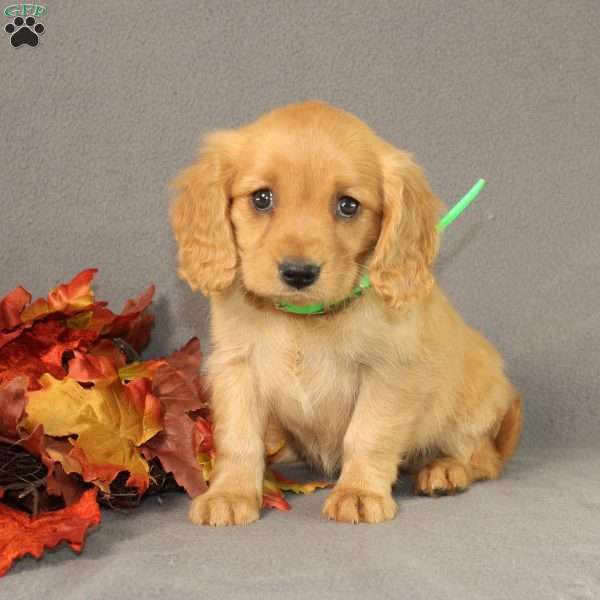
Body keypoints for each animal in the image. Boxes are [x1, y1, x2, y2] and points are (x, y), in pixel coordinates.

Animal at [169, 102, 520, 524]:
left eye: (348, 205)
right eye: (261, 198)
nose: (298, 273)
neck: (303, 321)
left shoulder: (389, 374)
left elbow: (367, 435)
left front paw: (359, 492)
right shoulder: (237, 367)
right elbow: (239, 439)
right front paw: (230, 493)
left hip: (472, 402)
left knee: (482, 457)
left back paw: (445, 470)